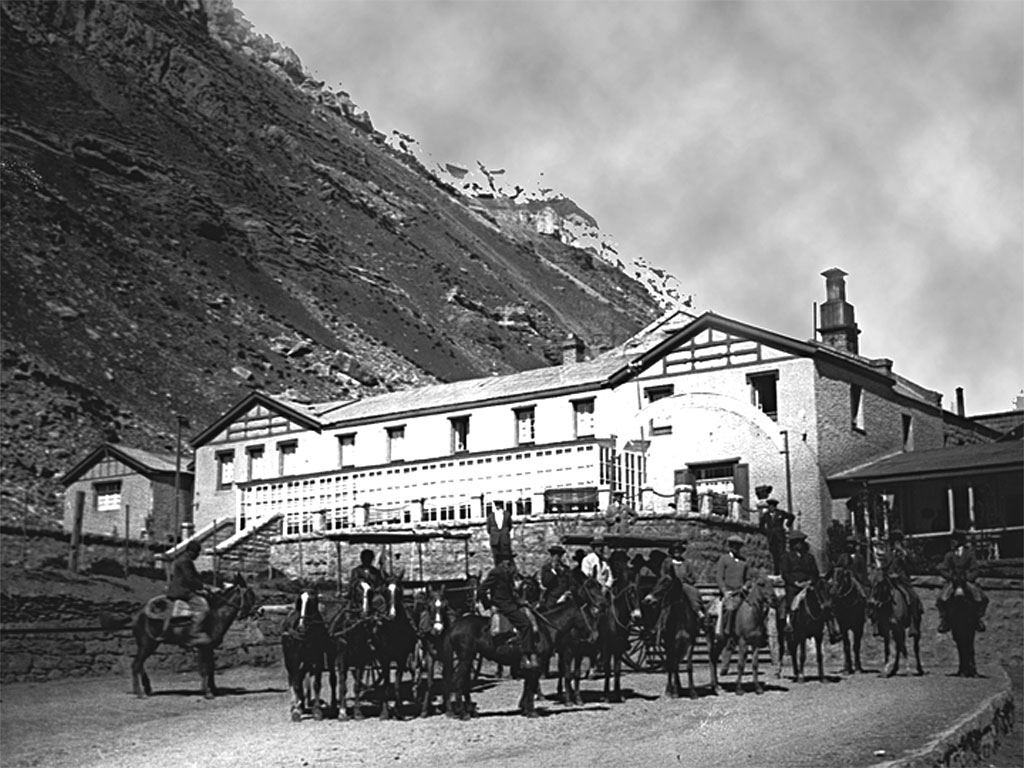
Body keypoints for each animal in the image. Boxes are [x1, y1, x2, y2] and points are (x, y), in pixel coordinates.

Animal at [120, 573, 258, 700]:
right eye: (251, 594)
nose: (257, 612)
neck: (216, 615)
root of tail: (137, 612)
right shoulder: (203, 647)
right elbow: (205, 668)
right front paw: (207, 692)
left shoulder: (209, 648)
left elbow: (211, 668)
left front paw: (213, 689)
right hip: (147, 644)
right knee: (136, 665)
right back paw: (140, 692)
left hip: (148, 644)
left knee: (140, 665)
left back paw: (146, 687)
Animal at [280, 593, 335, 724]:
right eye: (299, 603)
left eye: (312, 602)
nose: (301, 627)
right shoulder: (294, 659)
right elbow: (296, 684)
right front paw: (296, 711)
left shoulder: (317, 660)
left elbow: (316, 684)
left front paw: (317, 711)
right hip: (289, 660)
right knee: (292, 679)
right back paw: (295, 704)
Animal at [442, 585, 598, 720]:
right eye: (588, 614)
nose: (594, 636)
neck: (545, 628)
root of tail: (454, 626)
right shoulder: (537, 663)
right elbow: (532, 686)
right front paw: (532, 711)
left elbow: (528, 685)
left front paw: (526, 709)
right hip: (465, 658)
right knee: (458, 681)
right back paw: (463, 713)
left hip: (468, 659)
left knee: (464, 683)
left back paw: (469, 710)